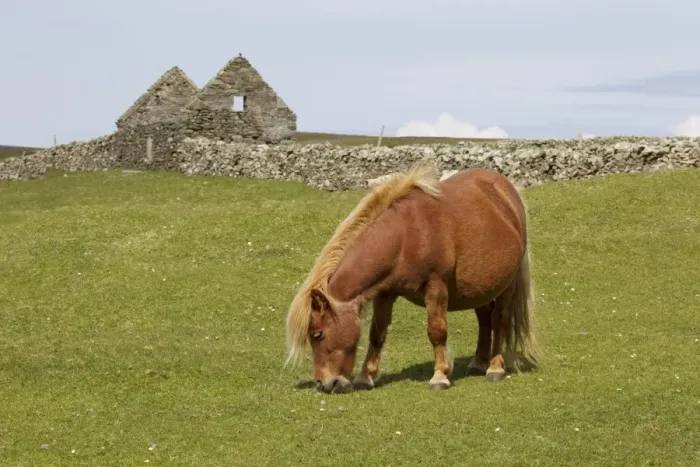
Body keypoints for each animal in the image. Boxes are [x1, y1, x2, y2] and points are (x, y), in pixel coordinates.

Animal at [285, 160, 540, 393]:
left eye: (317, 334)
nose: (323, 384)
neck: (405, 237)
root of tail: (508, 192)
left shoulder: (435, 287)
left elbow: (436, 331)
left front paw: (440, 376)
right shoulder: (385, 294)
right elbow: (377, 333)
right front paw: (365, 377)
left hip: (506, 286)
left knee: (500, 320)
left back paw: (495, 367)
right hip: (482, 288)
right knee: (485, 319)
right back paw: (478, 363)